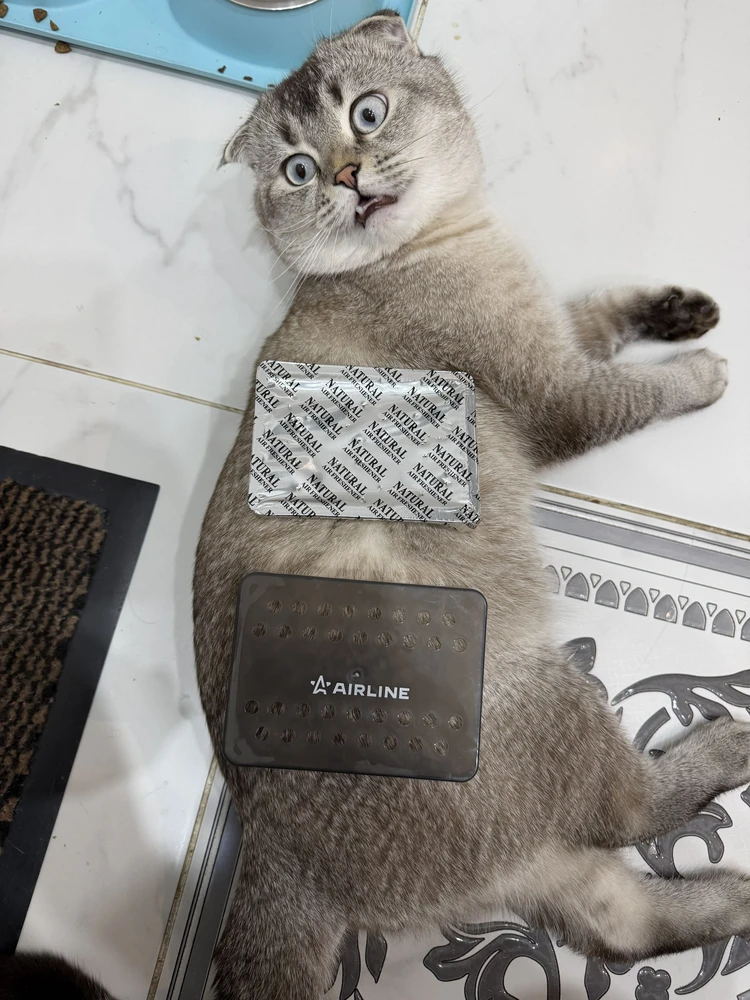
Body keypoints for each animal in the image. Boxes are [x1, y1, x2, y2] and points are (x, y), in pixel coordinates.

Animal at [1, 9, 743, 1000]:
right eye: (298, 170)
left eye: (367, 113)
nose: (348, 177)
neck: (452, 237)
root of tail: (273, 856)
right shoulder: (559, 396)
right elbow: (639, 392)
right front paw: (703, 371)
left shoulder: (556, 336)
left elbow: (608, 312)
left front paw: (683, 310)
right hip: (542, 691)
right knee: (628, 811)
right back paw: (733, 747)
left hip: (537, 858)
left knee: (619, 927)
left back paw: (738, 897)